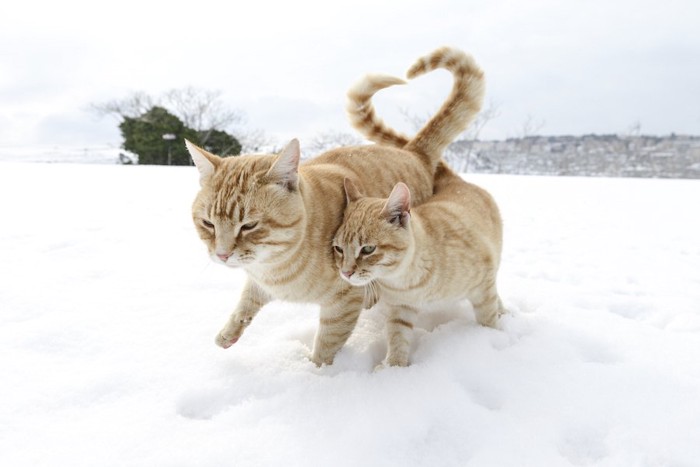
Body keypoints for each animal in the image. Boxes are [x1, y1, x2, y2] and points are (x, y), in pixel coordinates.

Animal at [186, 45, 484, 366]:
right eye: (208, 223)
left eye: (249, 225)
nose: (222, 254)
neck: (276, 268)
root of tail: (412, 151)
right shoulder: (259, 282)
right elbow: (246, 301)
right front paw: (229, 332)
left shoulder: (343, 302)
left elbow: (326, 345)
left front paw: (316, 373)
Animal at [334, 163, 504, 368]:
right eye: (338, 249)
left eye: (368, 249)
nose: (345, 273)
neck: (405, 281)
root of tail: (455, 180)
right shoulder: (400, 308)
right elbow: (397, 337)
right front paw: (394, 367)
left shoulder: (483, 285)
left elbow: (488, 316)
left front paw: (490, 335)